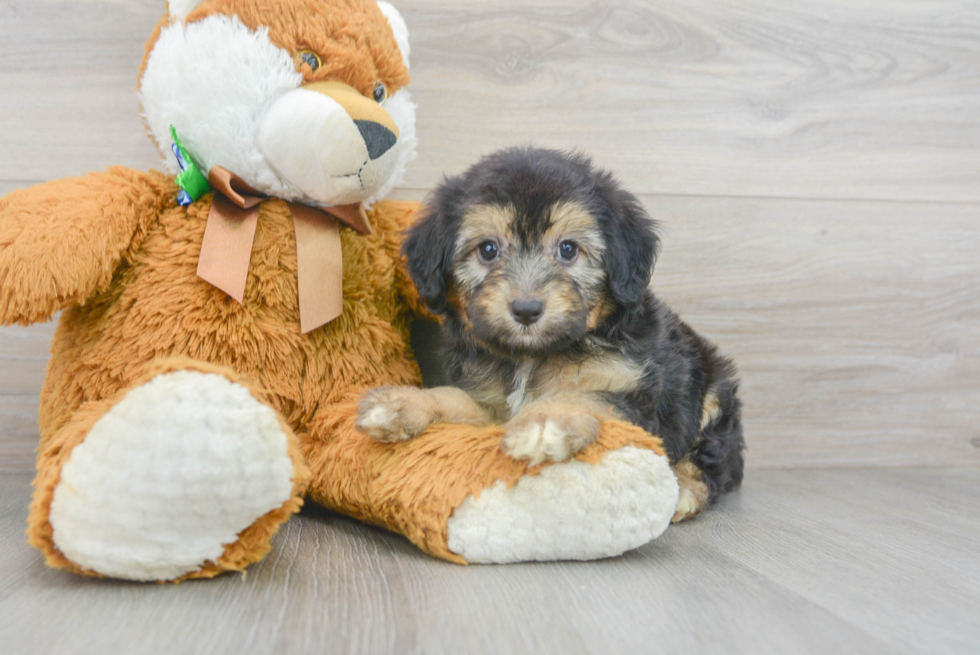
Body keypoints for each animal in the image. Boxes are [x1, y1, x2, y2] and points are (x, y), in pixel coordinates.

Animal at [356, 146, 748, 520]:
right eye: (488, 249)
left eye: (568, 249)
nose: (527, 309)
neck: (534, 355)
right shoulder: (490, 405)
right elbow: (455, 398)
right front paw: (404, 402)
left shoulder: (633, 395)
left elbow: (582, 396)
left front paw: (546, 421)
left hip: (712, 394)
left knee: (717, 460)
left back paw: (683, 488)